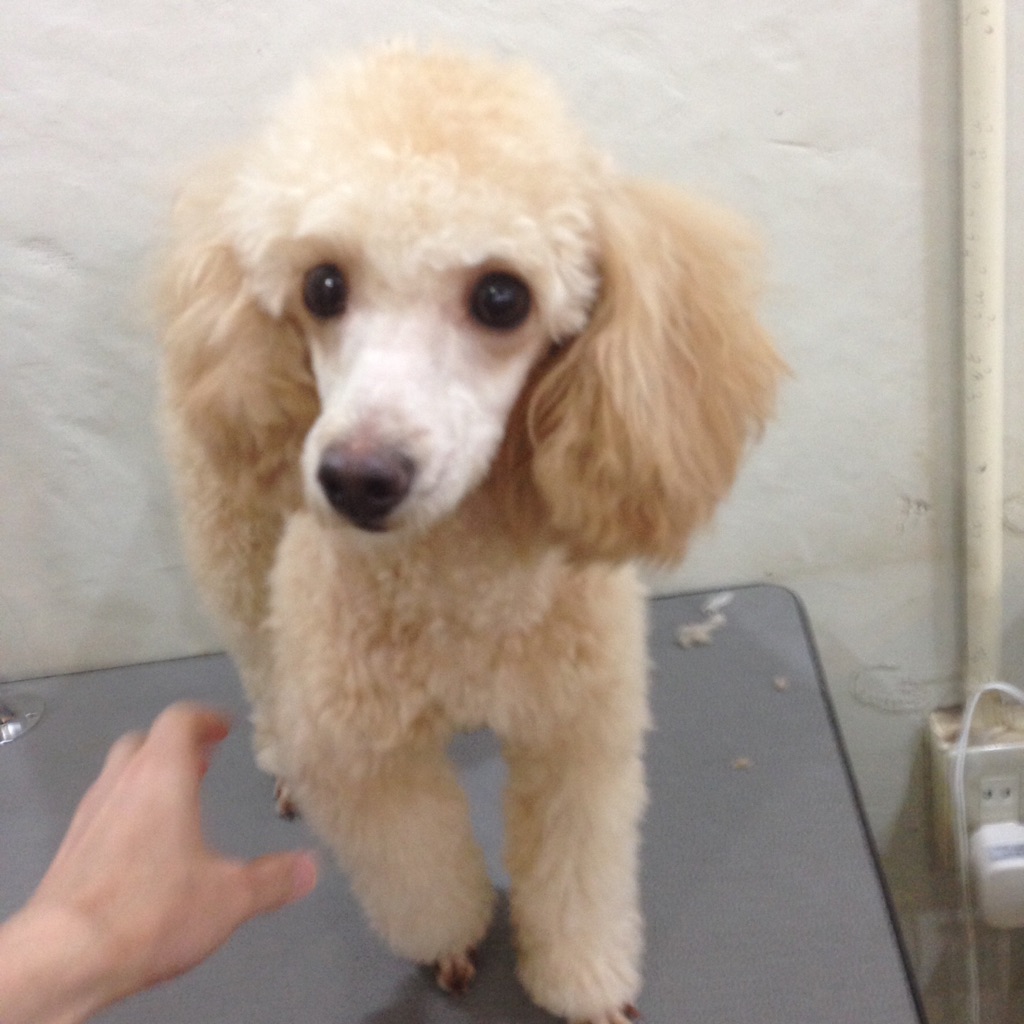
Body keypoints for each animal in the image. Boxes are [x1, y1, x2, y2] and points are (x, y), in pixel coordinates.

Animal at [156, 44, 783, 1024]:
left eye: (501, 297)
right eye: (322, 285)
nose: (356, 478)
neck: (459, 589)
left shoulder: (577, 730)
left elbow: (577, 877)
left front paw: (585, 982)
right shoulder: (364, 753)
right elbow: (419, 871)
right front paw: (452, 944)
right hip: (234, 530)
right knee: (257, 654)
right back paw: (278, 749)